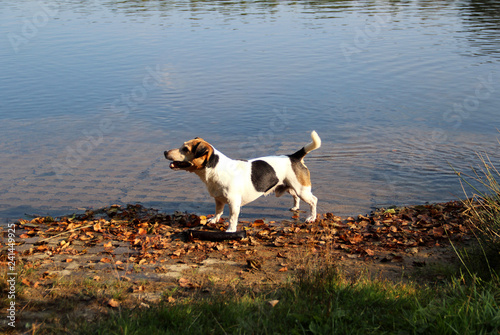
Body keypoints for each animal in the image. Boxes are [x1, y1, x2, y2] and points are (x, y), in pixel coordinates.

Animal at [164, 131, 320, 234]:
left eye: (185, 149)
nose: (165, 152)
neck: (216, 168)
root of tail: (293, 157)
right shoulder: (218, 199)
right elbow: (218, 211)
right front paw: (214, 220)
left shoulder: (234, 203)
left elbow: (232, 218)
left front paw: (230, 230)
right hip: (291, 187)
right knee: (295, 196)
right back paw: (295, 207)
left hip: (302, 190)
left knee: (313, 200)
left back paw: (311, 217)